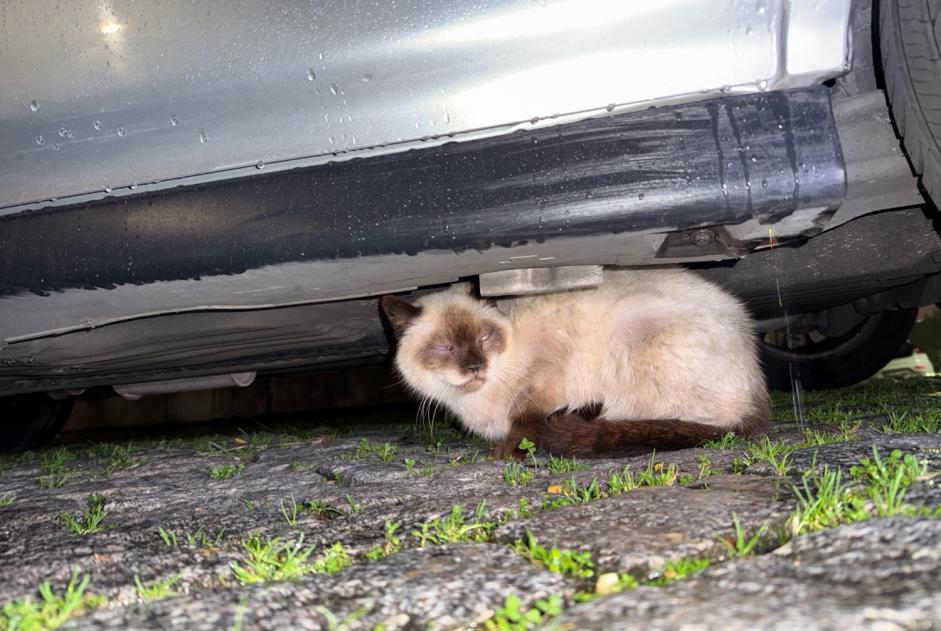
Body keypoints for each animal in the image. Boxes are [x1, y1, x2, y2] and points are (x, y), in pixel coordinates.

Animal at [378, 268, 768, 460]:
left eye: (484, 339)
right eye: (444, 347)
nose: (475, 367)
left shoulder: (544, 372)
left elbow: (525, 416)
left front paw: (510, 452)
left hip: (633, 330)